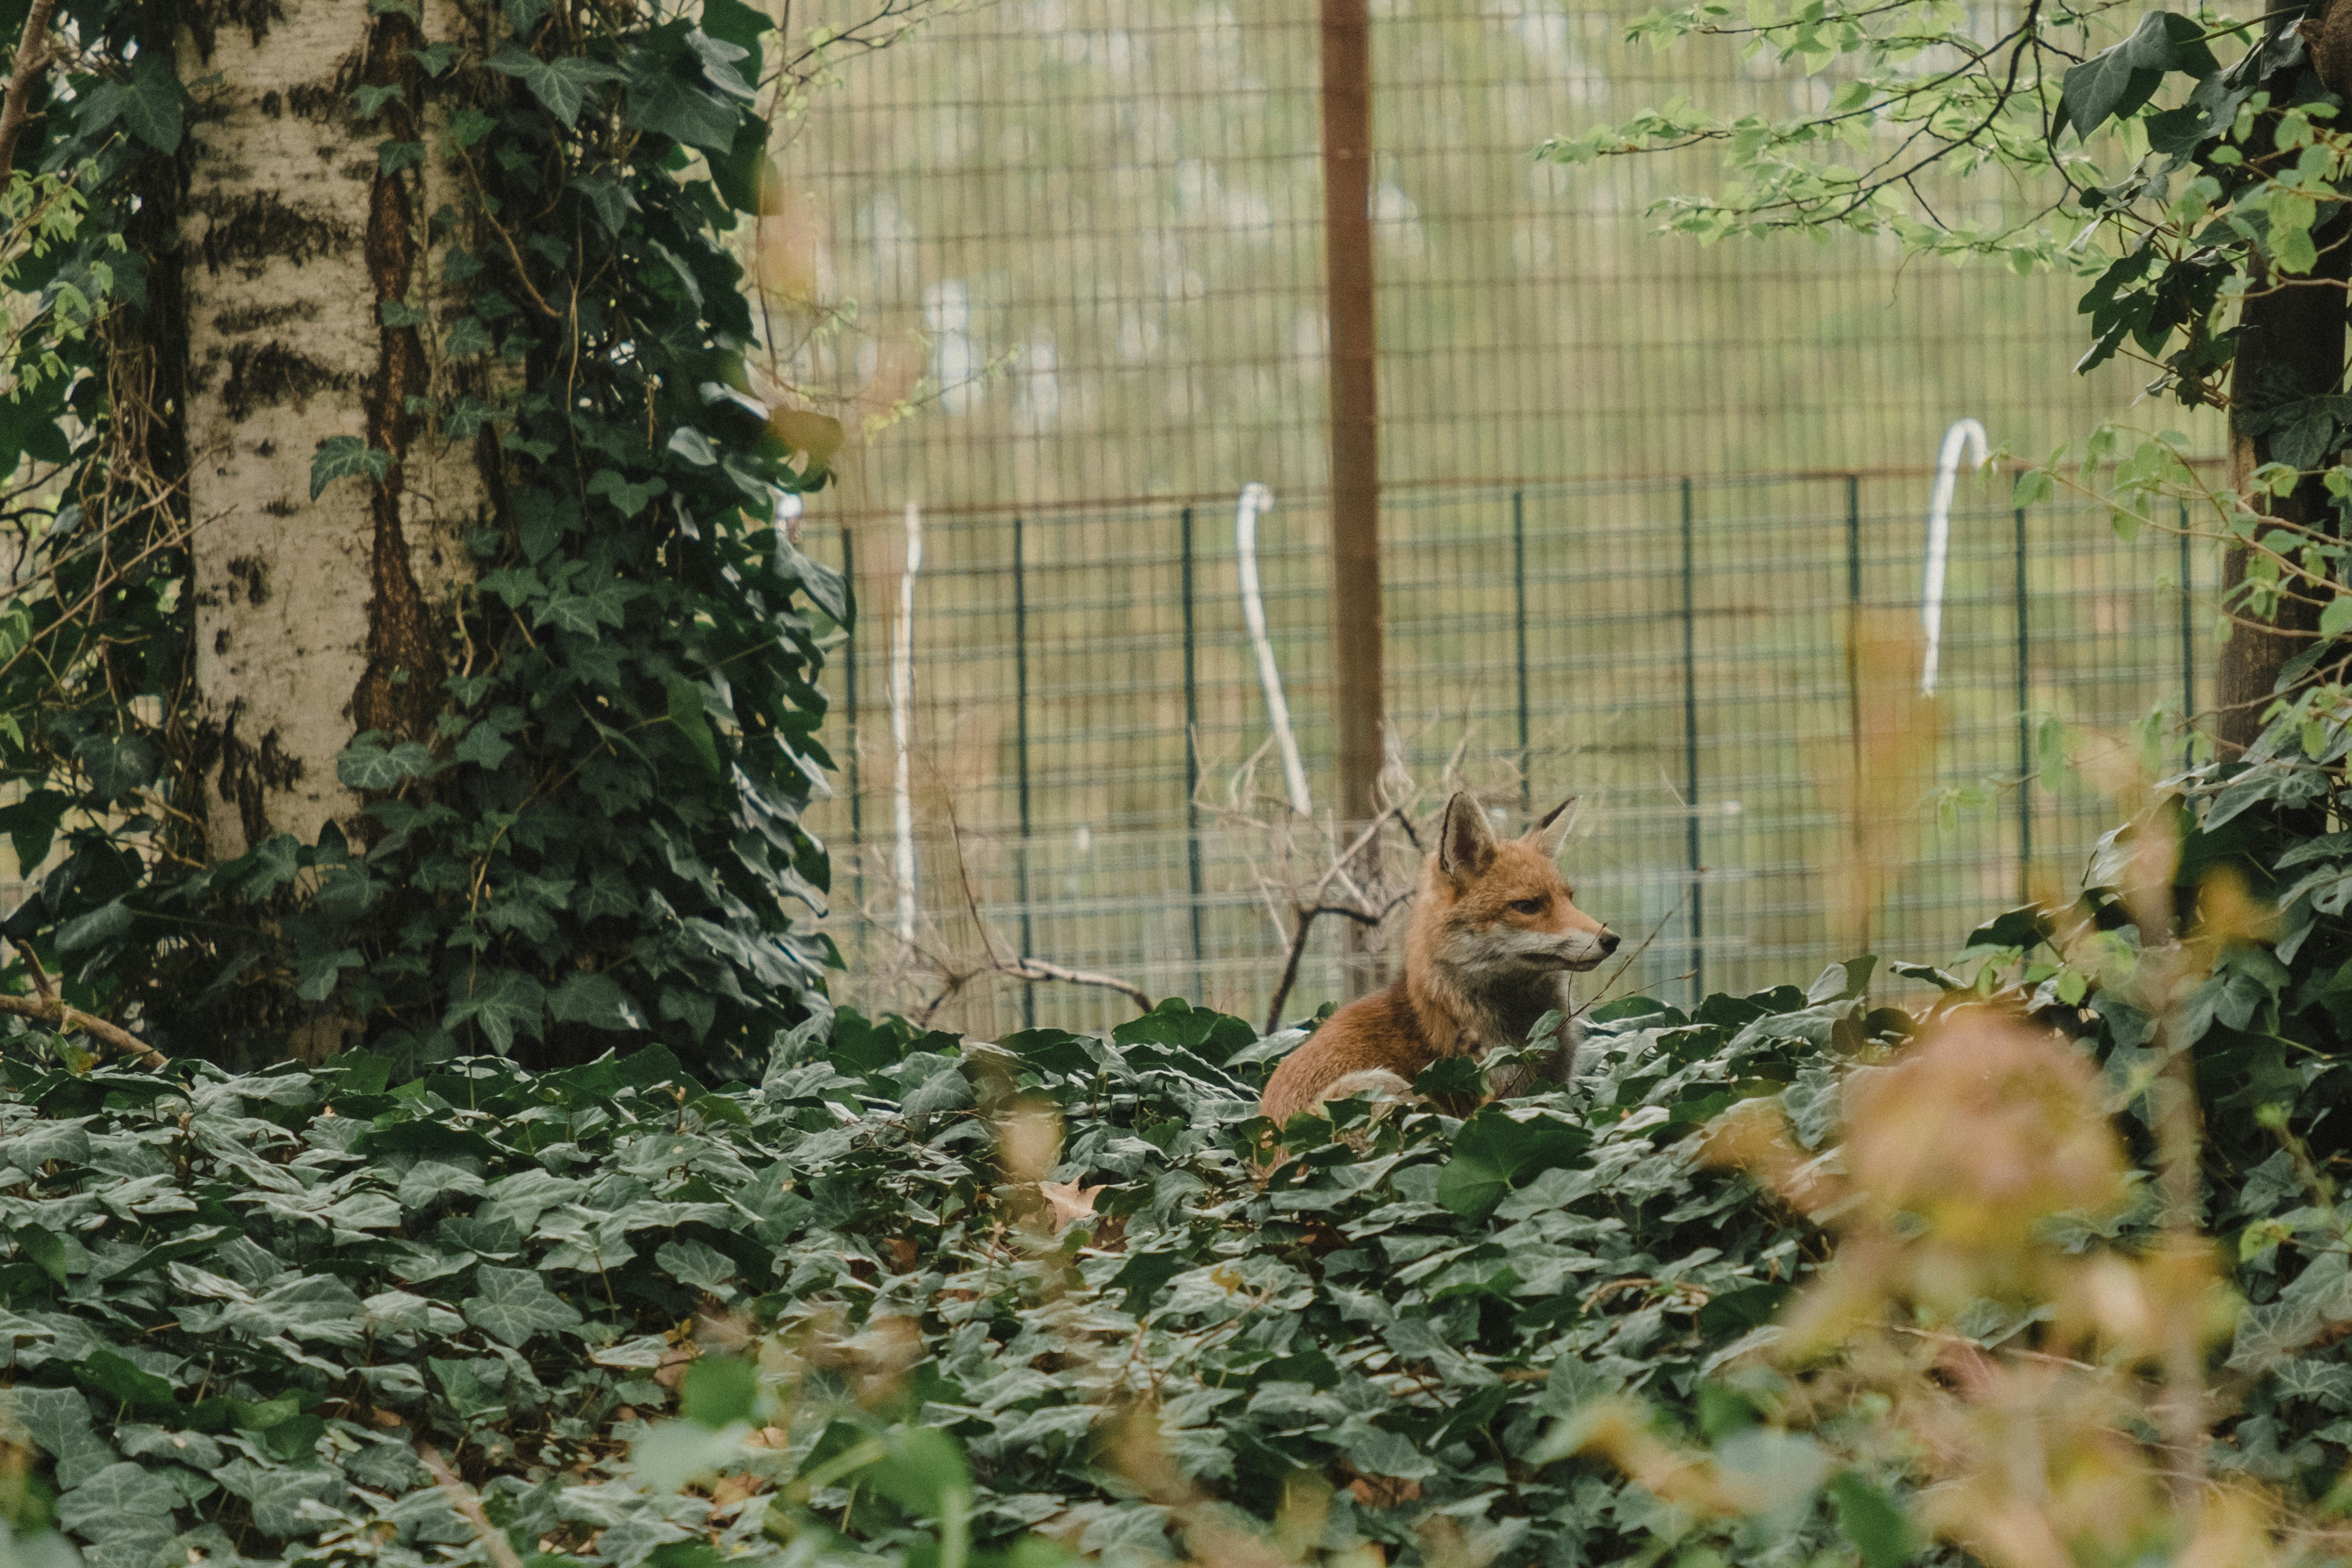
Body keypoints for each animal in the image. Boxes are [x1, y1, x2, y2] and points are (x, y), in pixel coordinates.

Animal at [1260, 804, 1627, 1124]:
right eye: (1527, 906)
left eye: (1569, 899)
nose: (1612, 940)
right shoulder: (1506, 1100)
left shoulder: (1553, 1090)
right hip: (1383, 1090)